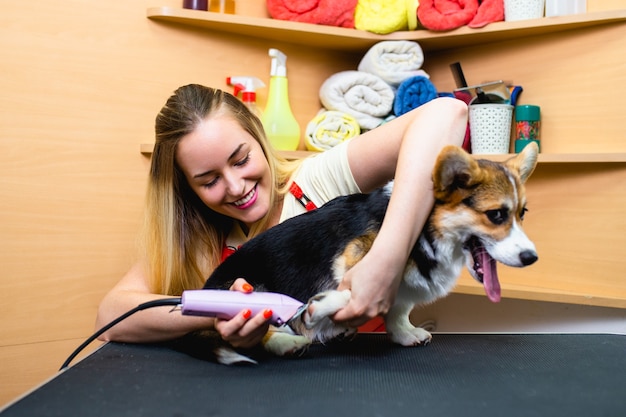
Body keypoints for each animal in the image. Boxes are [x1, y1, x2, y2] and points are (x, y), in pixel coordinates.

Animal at [204, 142, 536, 360]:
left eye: (523, 213)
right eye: (496, 215)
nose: (532, 258)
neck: (426, 228)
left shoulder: (399, 288)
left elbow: (398, 309)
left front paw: (404, 333)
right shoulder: (355, 257)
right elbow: (350, 292)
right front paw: (322, 306)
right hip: (248, 288)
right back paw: (285, 342)